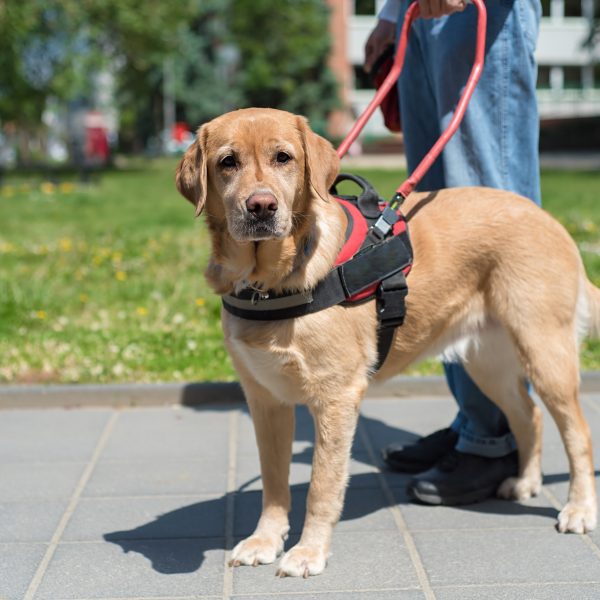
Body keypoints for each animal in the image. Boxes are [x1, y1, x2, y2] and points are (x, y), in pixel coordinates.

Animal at [176, 106, 596, 576]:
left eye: (283, 157)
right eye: (228, 162)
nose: (261, 206)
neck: (267, 284)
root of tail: (548, 218)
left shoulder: (336, 397)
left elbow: (322, 484)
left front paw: (308, 551)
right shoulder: (265, 399)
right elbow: (273, 481)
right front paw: (265, 540)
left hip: (545, 352)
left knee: (577, 432)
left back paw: (580, 509)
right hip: (488, 364)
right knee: (529, 414)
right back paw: (526, 481)